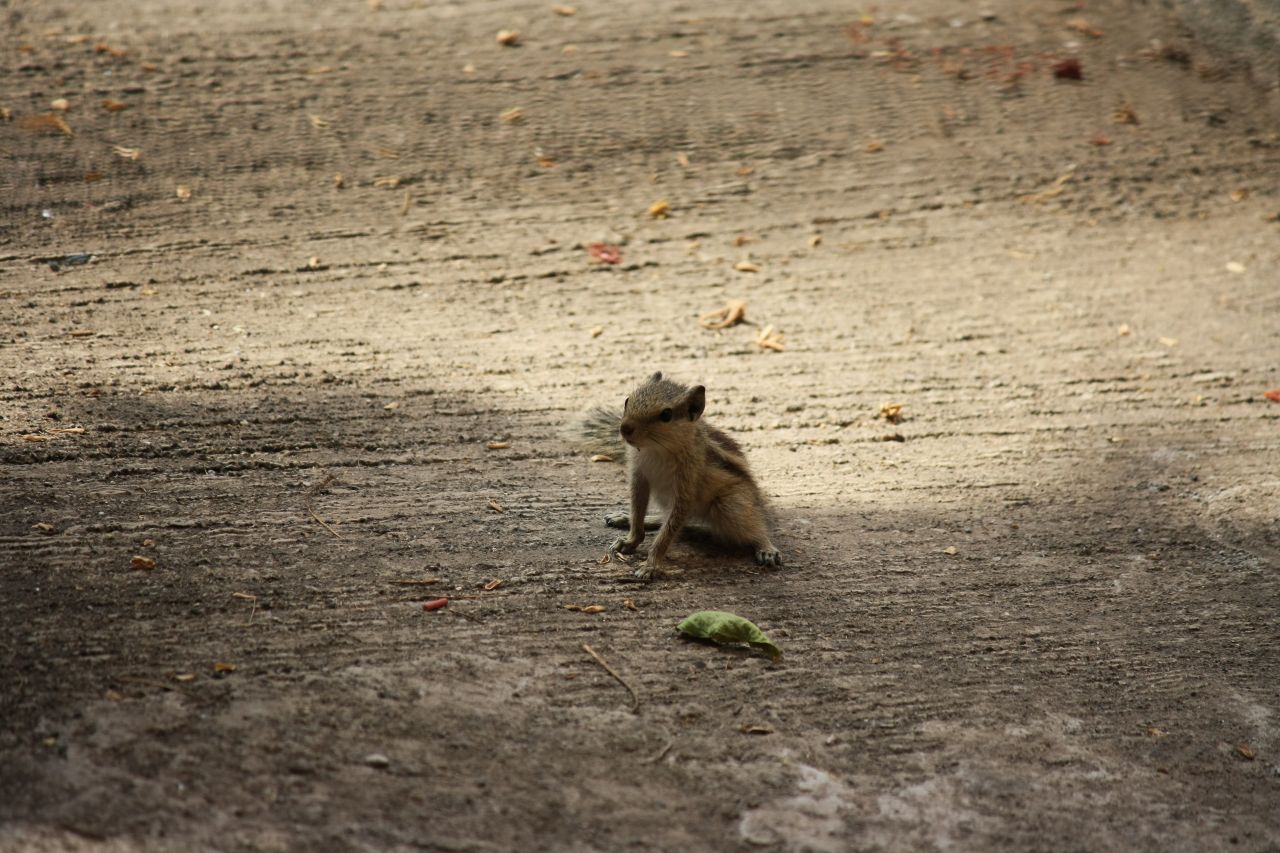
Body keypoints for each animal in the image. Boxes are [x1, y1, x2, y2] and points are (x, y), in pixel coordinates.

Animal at [578, 371, 778, 578]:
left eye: (666, 414)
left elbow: (668, 532)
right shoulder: (639, 477)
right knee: (667, 518)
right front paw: (630, 540)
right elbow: (638, 511)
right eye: (627, 400)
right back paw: (624, 518)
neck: (656, 449)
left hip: (731, 505)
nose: (625, 428)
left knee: (755, 525)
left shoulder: (686, 487)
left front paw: (651, 565)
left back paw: (766, 547)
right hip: (663, 497)